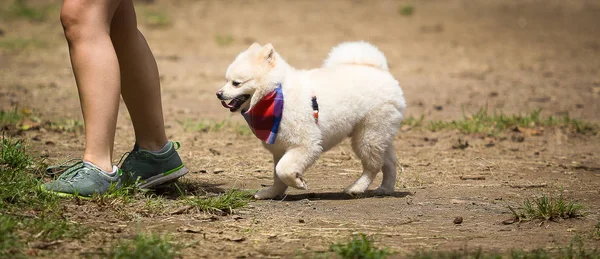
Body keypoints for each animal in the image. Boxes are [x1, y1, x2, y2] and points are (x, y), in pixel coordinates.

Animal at [217, 41, 408, 200]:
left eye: (236, 83)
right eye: (226, 80)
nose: (219, 93)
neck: (277, 94)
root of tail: (379, 70)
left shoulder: (306, 144)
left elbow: (283, 170)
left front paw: (298, 183)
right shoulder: (279, 148)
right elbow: (278, 176)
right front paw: (271, 193)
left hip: (367, 136)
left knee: (373, 166)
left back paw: (356, 188)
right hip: (380, 134)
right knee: (390, 162)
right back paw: (385, 189)